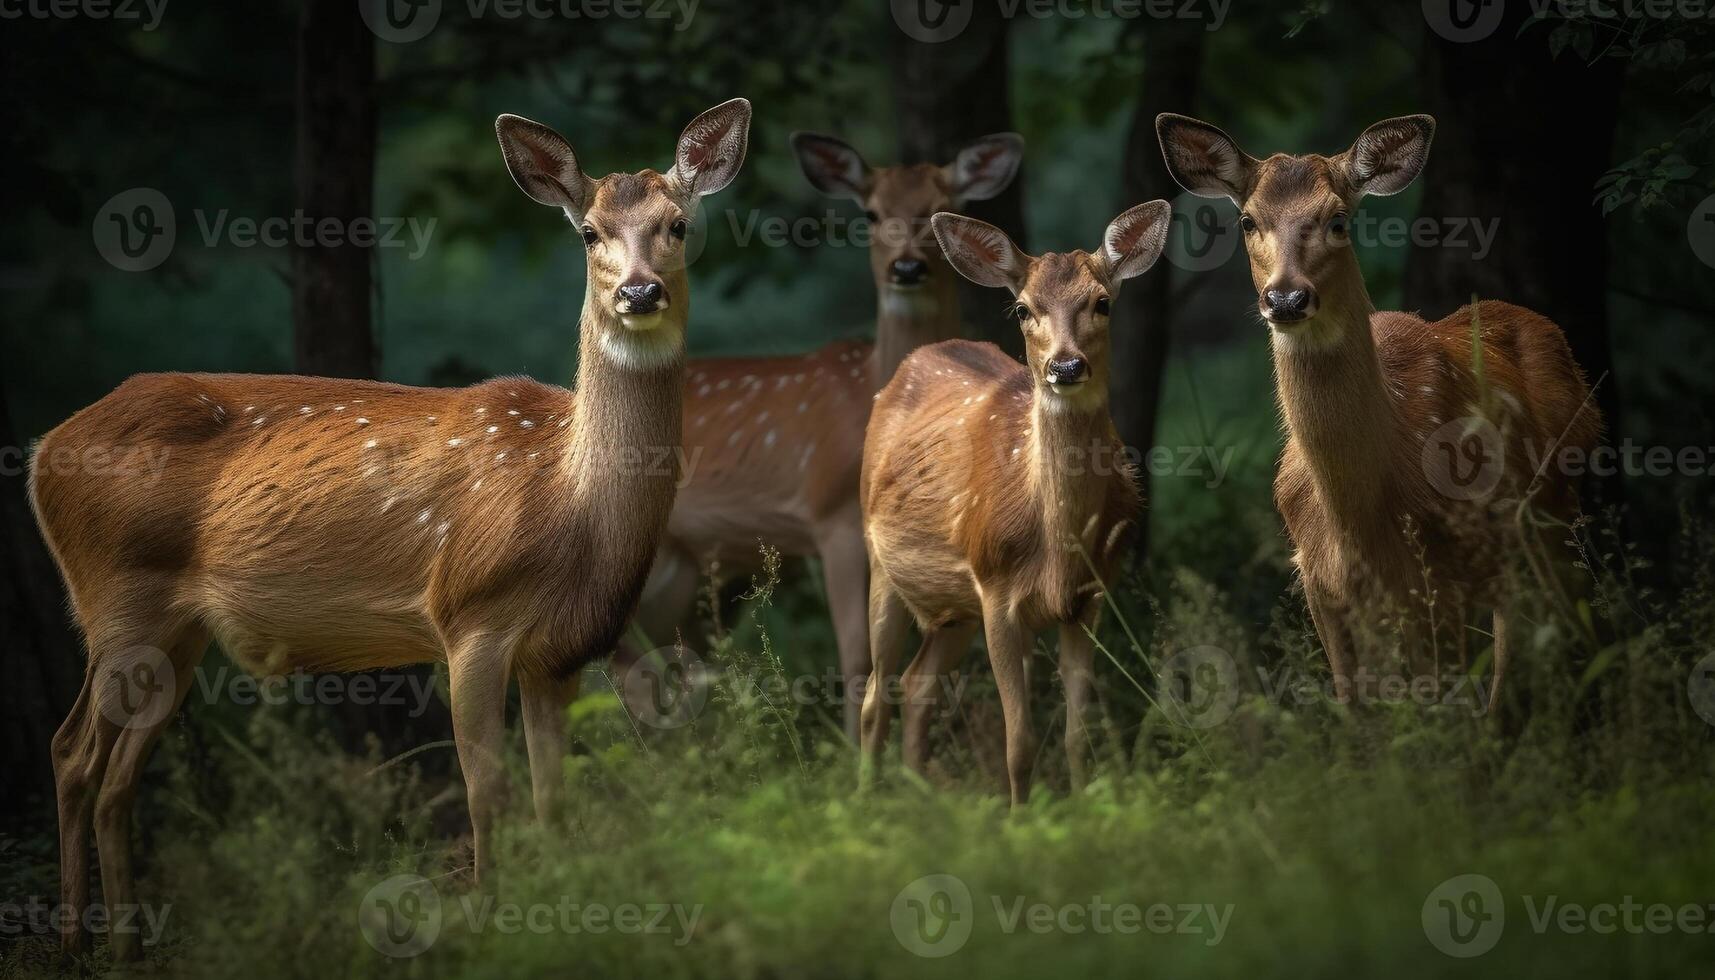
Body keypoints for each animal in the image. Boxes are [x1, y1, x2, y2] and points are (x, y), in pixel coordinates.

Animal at [28, 101, 751, 967]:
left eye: (678, 224)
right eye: (589, 232)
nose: (640, 291)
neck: (567, 502)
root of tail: (39, 451)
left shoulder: (561, 653)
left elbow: (554, 800)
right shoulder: (469, 616)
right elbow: (487, 792)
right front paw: (495, 924)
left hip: (177, 631)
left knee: (114, 773)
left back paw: (126, 947)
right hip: (116, 600)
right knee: (71, 752)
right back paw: (77, 943)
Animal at [637, 128, 1022, 734]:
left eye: (943, 205)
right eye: (871, 212)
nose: (906, 268)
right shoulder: (831, 514)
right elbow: (855, 654)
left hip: (689, 571)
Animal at [857, 201, 1166, 806]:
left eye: (1103, 302)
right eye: (1023, 309)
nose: (1066, 367)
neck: (1060, 545)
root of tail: (911, 362)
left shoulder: (1090, 598)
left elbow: (1075, 735)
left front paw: (1084, 809)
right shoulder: (997, 590)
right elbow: (1018, 743)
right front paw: (1021, 817)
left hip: (955, 605)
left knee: (917, 684)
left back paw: (917, 799)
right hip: (882, 562)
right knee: (874, 695)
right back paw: (864, 802)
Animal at [1159, 114, 1598, 713]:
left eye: (1337, 219)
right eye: (1247, 220)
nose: (1287, 299)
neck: (1357, 516)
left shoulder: (1442, 574)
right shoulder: (1321, 584)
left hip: (1553, 525)